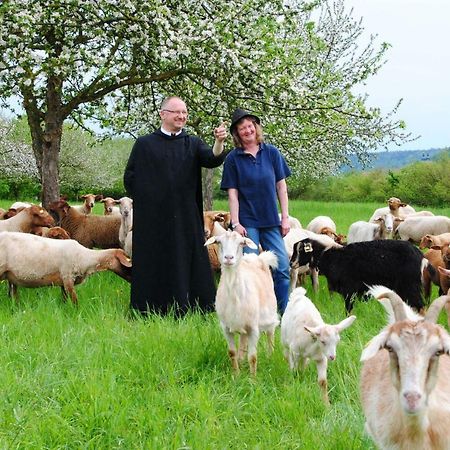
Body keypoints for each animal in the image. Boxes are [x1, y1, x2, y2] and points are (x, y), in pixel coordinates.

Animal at [0, 232, 132, 302]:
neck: (85, 257)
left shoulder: (63, 282)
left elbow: (64, 299)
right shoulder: (67, 277)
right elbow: (75, 301)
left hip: (11, 276)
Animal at [206, 229, 280, 376]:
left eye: (241, 243)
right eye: (219, 242)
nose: (229, 258)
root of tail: (256, 258)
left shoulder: (253, 328)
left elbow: (253, 357)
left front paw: (253, 379)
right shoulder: (226, 327)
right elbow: (232, 352)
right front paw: (236, 375)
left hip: (270, 313)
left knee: (270, 333)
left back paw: (270, 356)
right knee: (243, 343)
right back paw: (241, 362)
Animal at [290, 236, 430, 312]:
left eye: (301, 250)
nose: (291, 263)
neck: (331, 257)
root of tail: (421, 256)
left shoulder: (349, 289)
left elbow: (348, 310)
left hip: (409, 285)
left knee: (421, 306)